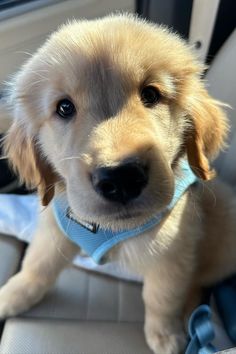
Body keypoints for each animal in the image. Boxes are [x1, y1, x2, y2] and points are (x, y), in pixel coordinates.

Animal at [0, 13, 236, 354]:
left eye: (151, 94)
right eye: (64, 107)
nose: (121, 178)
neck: (111, 228)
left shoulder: (173, 251)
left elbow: (161, 296)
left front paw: (165, 333)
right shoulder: (56, 229)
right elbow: (37, 265)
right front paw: (11, 294)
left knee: (199, 280)